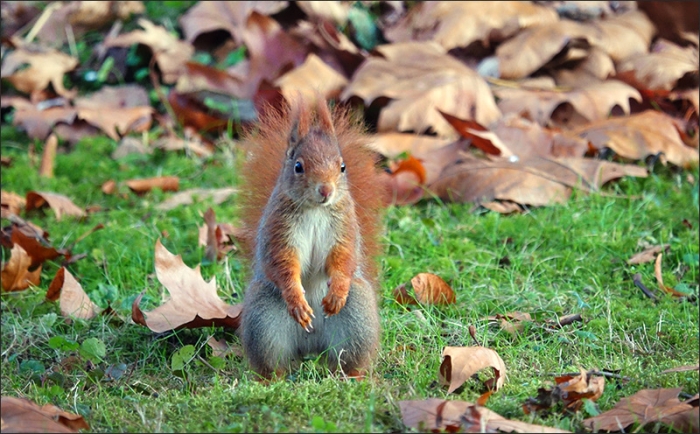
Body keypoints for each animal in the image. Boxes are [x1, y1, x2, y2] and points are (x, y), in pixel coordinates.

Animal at [237, 97, 383, 380]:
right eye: (298, 167)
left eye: (342, 167)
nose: (326, 190)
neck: (316, 209)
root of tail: (311, 347)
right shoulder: (279, 232)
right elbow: (283, 264)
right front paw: (296, 299)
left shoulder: (345, 229)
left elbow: (344, 257)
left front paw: (337, 291)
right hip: (263, 321)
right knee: (273, 361)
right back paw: (271, 380)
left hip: (357, 319)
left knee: (346, 358)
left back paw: (352, 376)